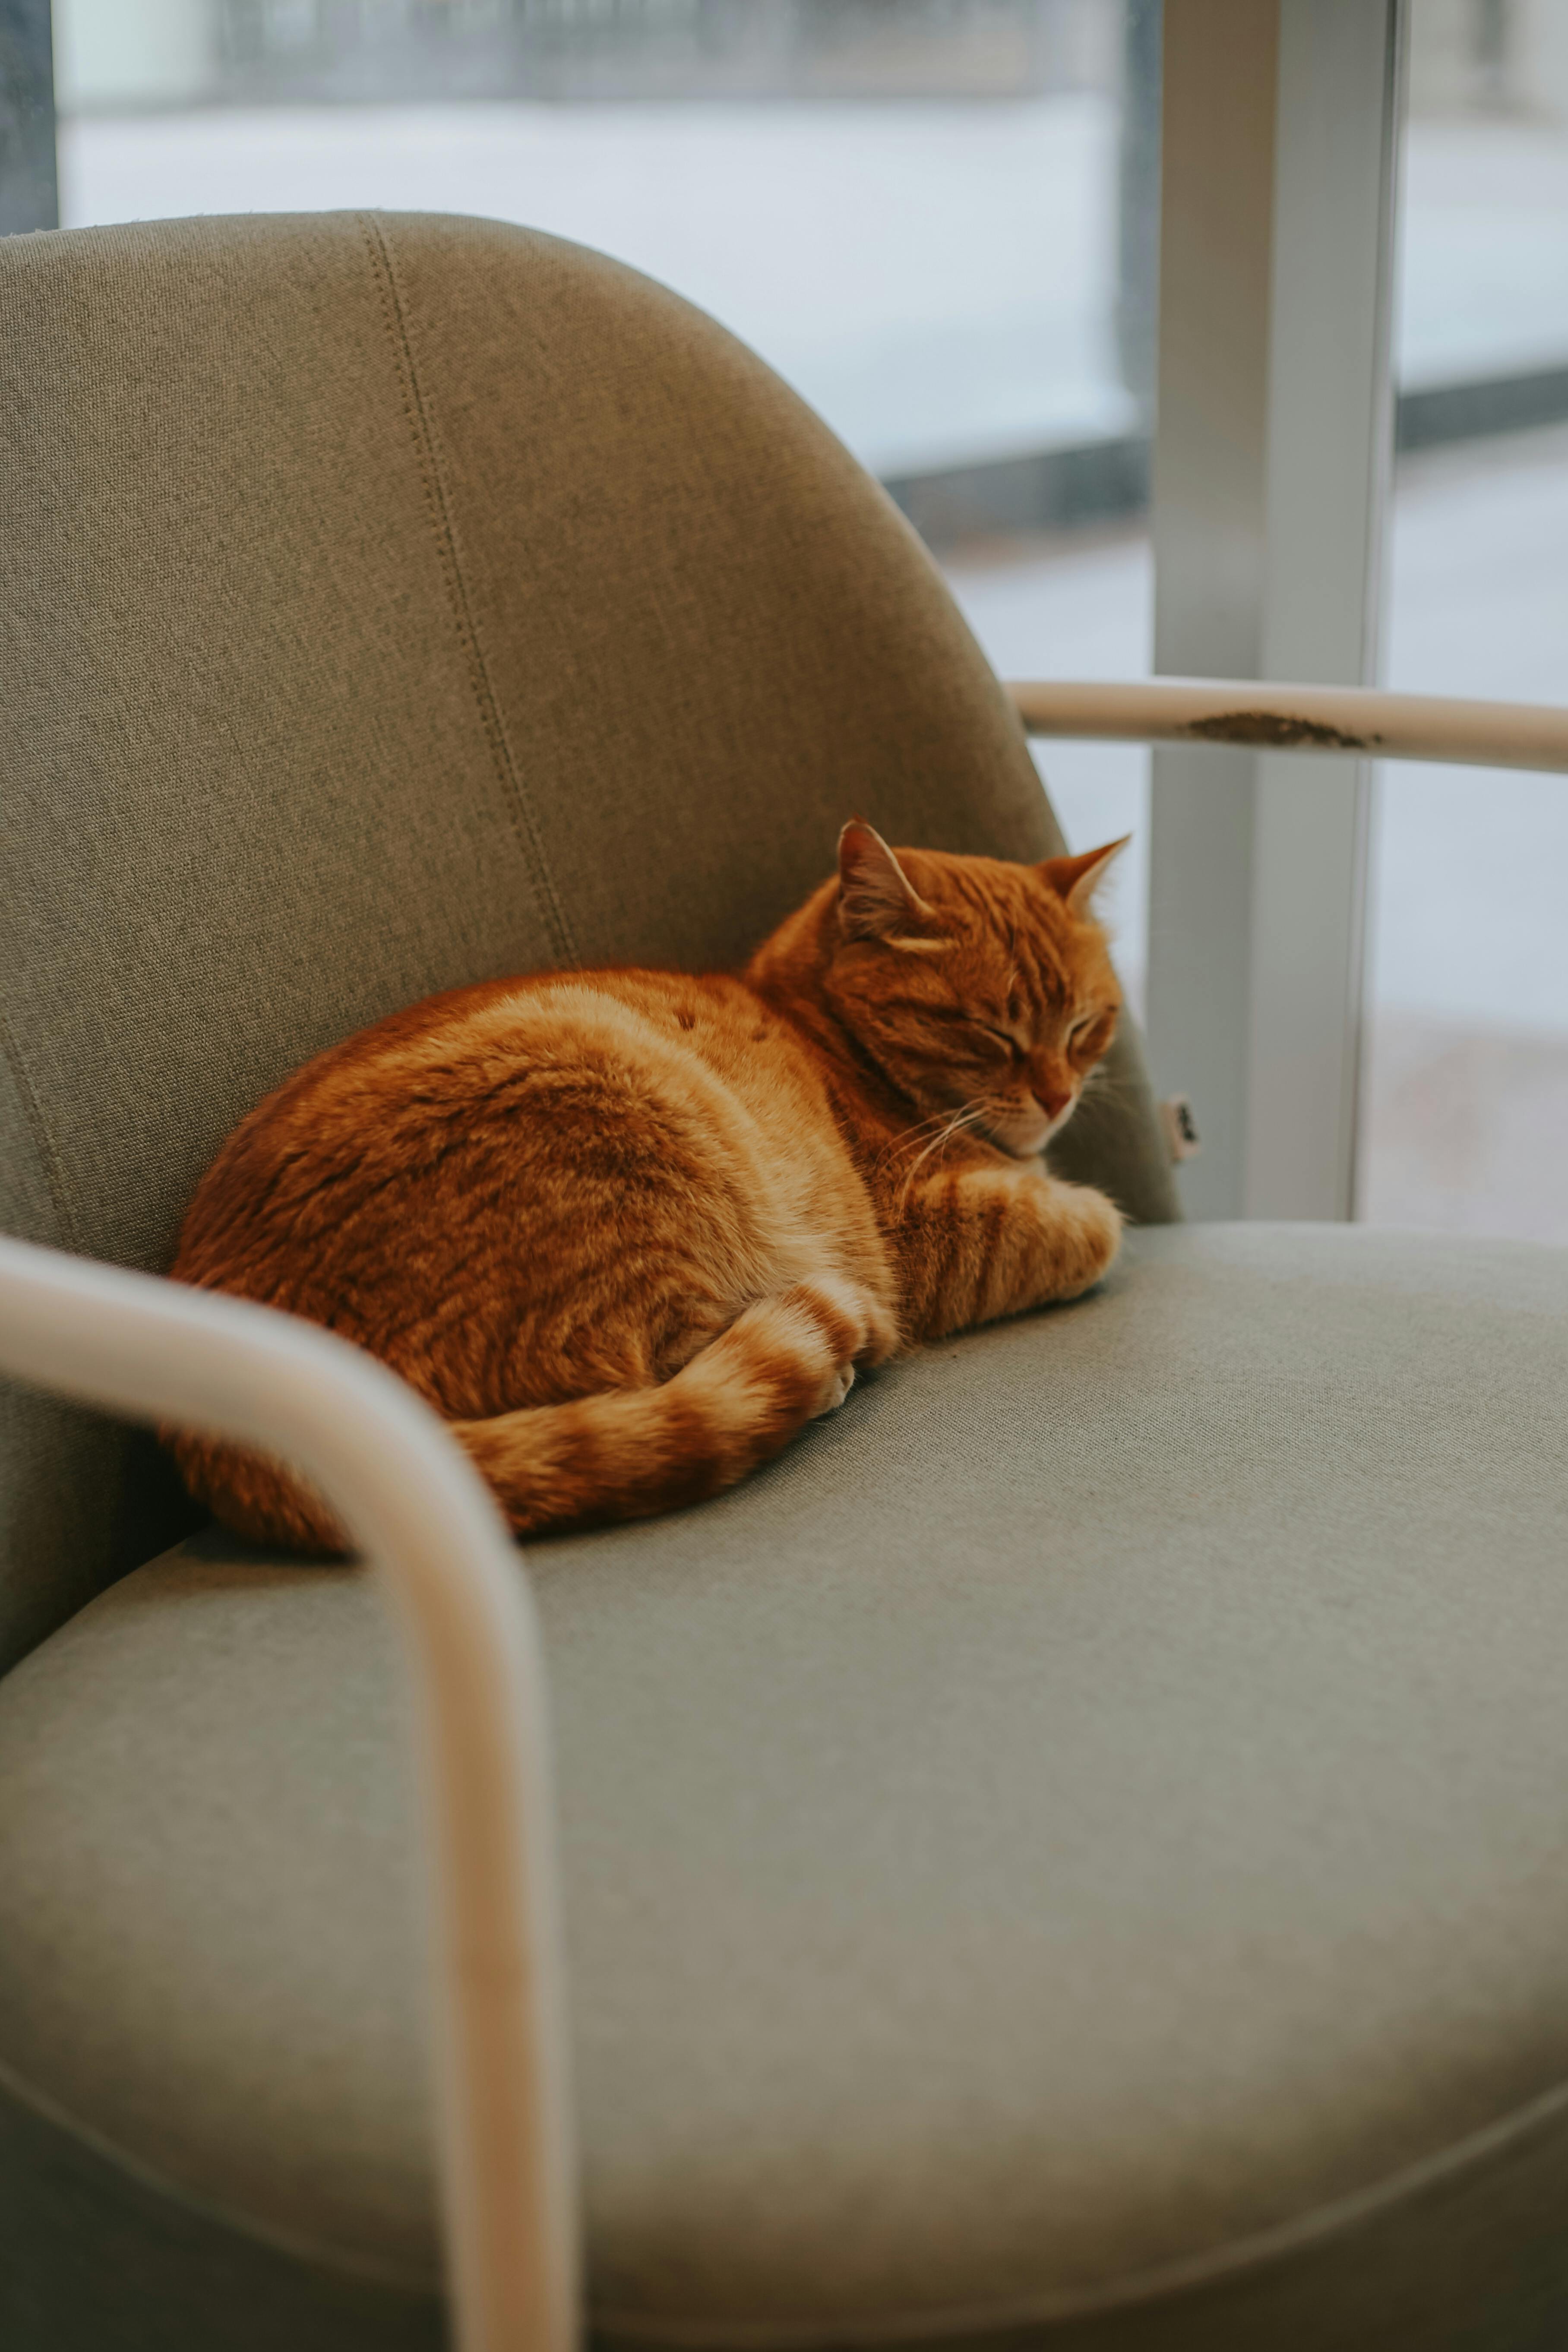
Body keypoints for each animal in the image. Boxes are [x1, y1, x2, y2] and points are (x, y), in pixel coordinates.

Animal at [169, 818, 1128, 1552]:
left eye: (1084, 1025)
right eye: (987, 1034)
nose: (1057, 1096)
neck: (824, 1039)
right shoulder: (925, 1238)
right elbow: (1095, 1230)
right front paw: (1085, 1207)